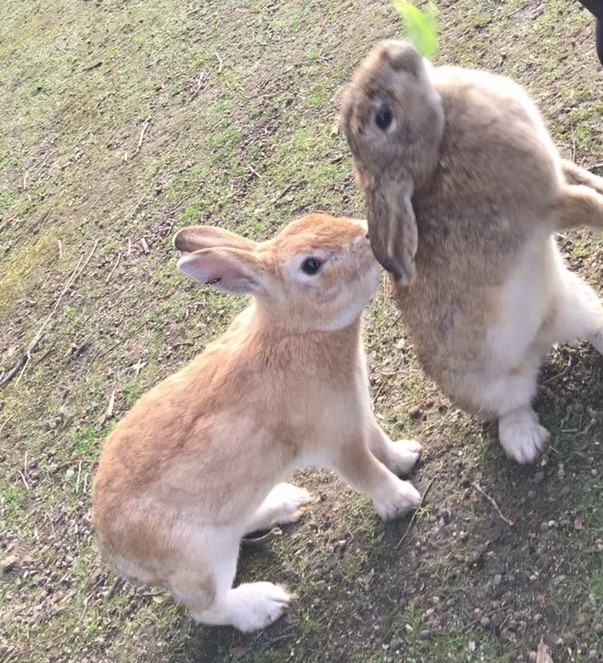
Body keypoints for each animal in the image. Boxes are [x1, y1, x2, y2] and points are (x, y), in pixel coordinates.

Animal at [92, 213, 422, 632]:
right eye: (311, 265)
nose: (368, 233)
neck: (297, 332)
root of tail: (115, 553)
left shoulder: (357, 412)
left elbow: (380, 442)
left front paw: (408, 456)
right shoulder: (339, 442)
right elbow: (368, 473)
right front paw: (403, 501)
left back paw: (285, 503)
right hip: (202, 559)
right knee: (208, 610)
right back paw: (265, 604)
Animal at [340, 40, 603, 466]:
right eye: (383, 117)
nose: (392, 49)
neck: (440, 139)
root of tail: (537, 343)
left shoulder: (559, 175)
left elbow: (587, 180)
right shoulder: (550, 204)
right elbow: (592, 204)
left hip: (574, 302)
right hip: (485, 386)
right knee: (511, 408)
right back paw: (525, 443)